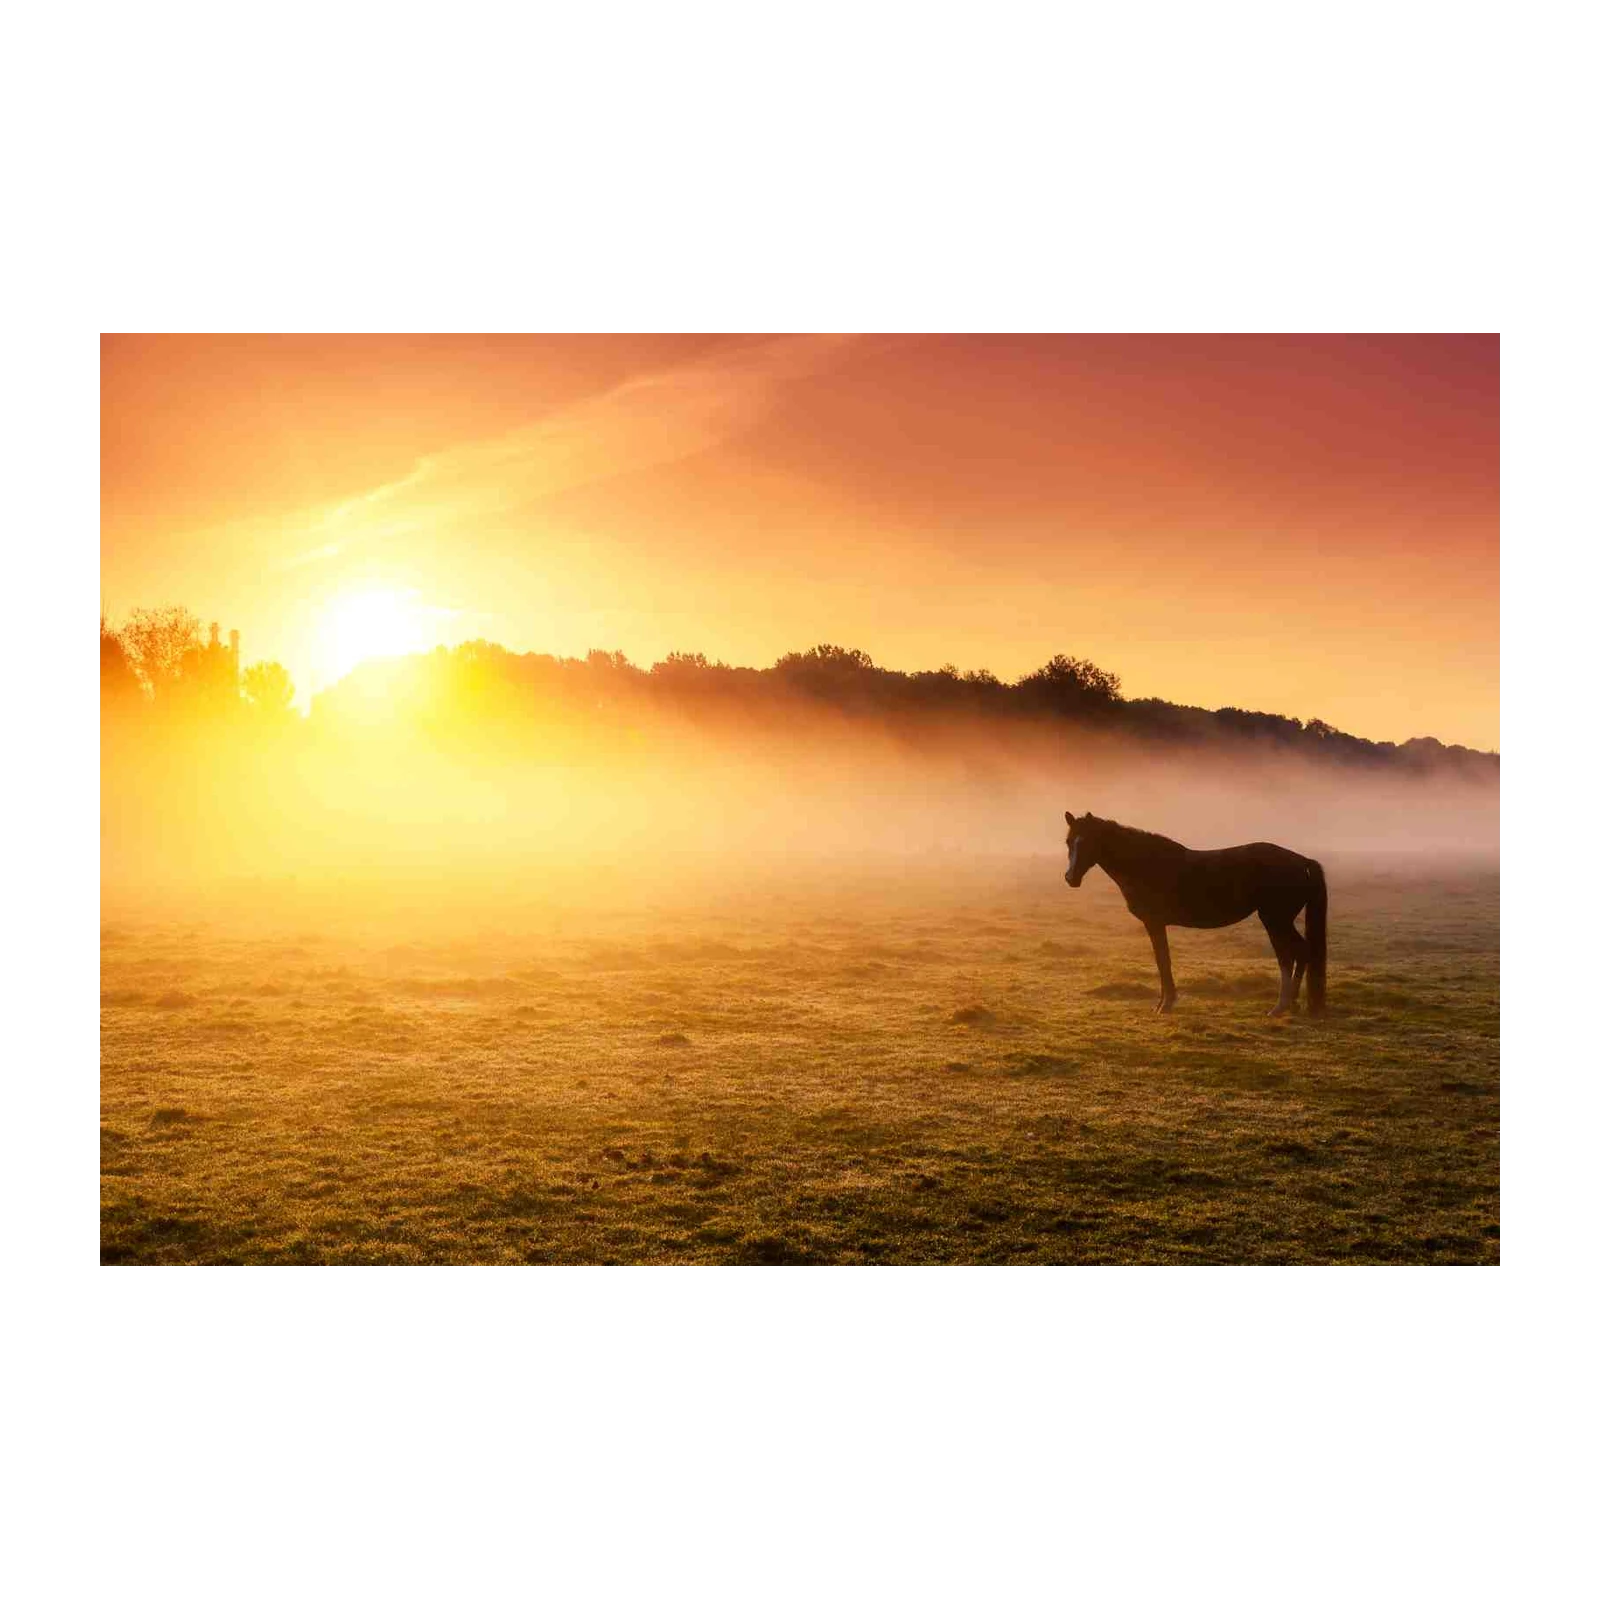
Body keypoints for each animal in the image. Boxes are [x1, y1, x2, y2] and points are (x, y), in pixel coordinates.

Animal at [1063, 811, 1327, 1017]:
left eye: (1086, 842)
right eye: (1068, 842)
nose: (1070, 878)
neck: (1146, 864)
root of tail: (1303, 861)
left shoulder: (1155, 923)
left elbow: (1163, 960)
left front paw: (1166, 1004)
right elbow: (1162, 960)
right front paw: (1163, 1002)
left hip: (1275, 920)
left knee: (1289, 956)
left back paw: (1281, 1007)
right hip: (1281, 921)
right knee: (1301, 952)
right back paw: (1292, 1004)